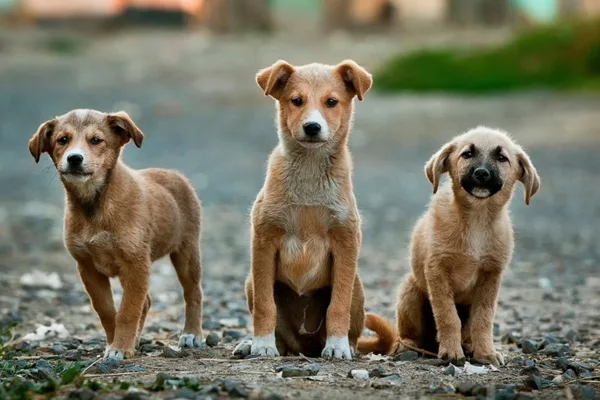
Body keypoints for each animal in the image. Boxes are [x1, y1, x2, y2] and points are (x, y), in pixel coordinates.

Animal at [28, 108, 204, 360]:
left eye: (96, 140)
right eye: (62, 140)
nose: (74, 158)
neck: (95, 205)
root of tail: (173, 174)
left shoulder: (136, 263)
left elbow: (128, 310)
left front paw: (120, 347)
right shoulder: (88, 267)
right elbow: (107, 310)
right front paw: (116, 343)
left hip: (186, 252)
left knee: (193, 293)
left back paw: (192, 334)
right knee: (146, 302)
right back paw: (137, 339)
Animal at [240, 59, 376, 360]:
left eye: (332, 102)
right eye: (296, 101)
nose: (312, 127)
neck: (310, 175)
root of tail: (305, 347)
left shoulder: (346, 242)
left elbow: (337, 305)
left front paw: (337, 346)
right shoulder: (264, 241)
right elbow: (265, 306)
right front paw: (262, 344)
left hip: (357, 287)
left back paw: (345, 345)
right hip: (250, 282)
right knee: (280, 333)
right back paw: (252, 345)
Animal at [358, 126, 540, 366]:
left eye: (502, 158)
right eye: (467, 154)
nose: (482, 173)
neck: (477, 220)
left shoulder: (491, 276)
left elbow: (484, 319)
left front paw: (486, 352)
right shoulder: (437, 271)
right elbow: (447, 316)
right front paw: (452, 352)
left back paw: (469, 346)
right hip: (410, 291)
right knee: (409, 334)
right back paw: (409, 346)